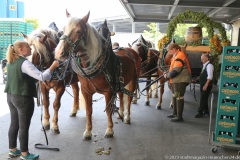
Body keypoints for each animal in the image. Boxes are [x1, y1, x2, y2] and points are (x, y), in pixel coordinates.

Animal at [54, 10, 141, 140]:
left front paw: (110, 130)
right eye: (62, 30)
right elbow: (89, 111)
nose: (59, 52)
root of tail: (130, 50)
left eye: (78, 31)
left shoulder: (108, 92)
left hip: (133, 80)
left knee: (129, 98)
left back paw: (127, 116)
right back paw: (120, 112)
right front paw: (88, 131)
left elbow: (108, 110)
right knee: (121, 96)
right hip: (121, 83)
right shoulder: (86, 91)